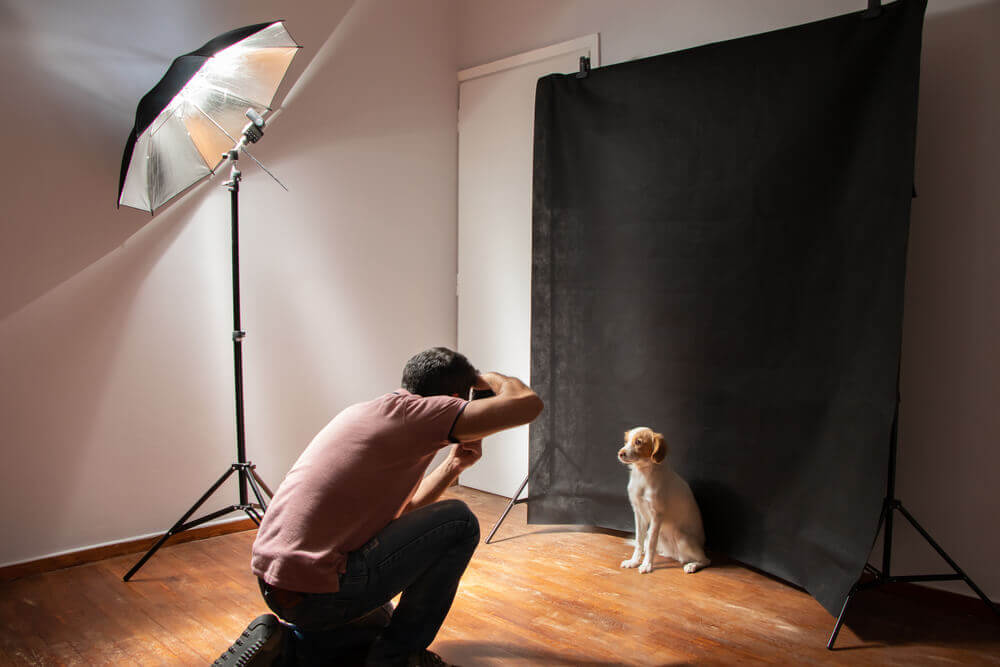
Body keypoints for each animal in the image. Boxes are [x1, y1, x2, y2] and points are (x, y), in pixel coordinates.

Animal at [616, 428, 712, 576]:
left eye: (638, 442)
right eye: (626, 441)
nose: (620, 453)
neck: (642, 474)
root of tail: (674, 555)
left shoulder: (657, 515)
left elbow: (651, 543)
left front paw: (647, 565)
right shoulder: (638, 513)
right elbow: (639, 540)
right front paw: (634, 561)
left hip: (681, 536)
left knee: (706, 560)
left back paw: (692, 565)